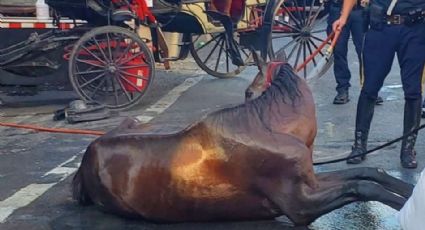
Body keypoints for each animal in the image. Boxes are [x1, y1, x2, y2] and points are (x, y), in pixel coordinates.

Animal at [71, 51, 412, 225]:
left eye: (250, 92)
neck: (271, 129)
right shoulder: (299, 205)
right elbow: (362, 186)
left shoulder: (312, 182)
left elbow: (368, 171)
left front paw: (409, 190)